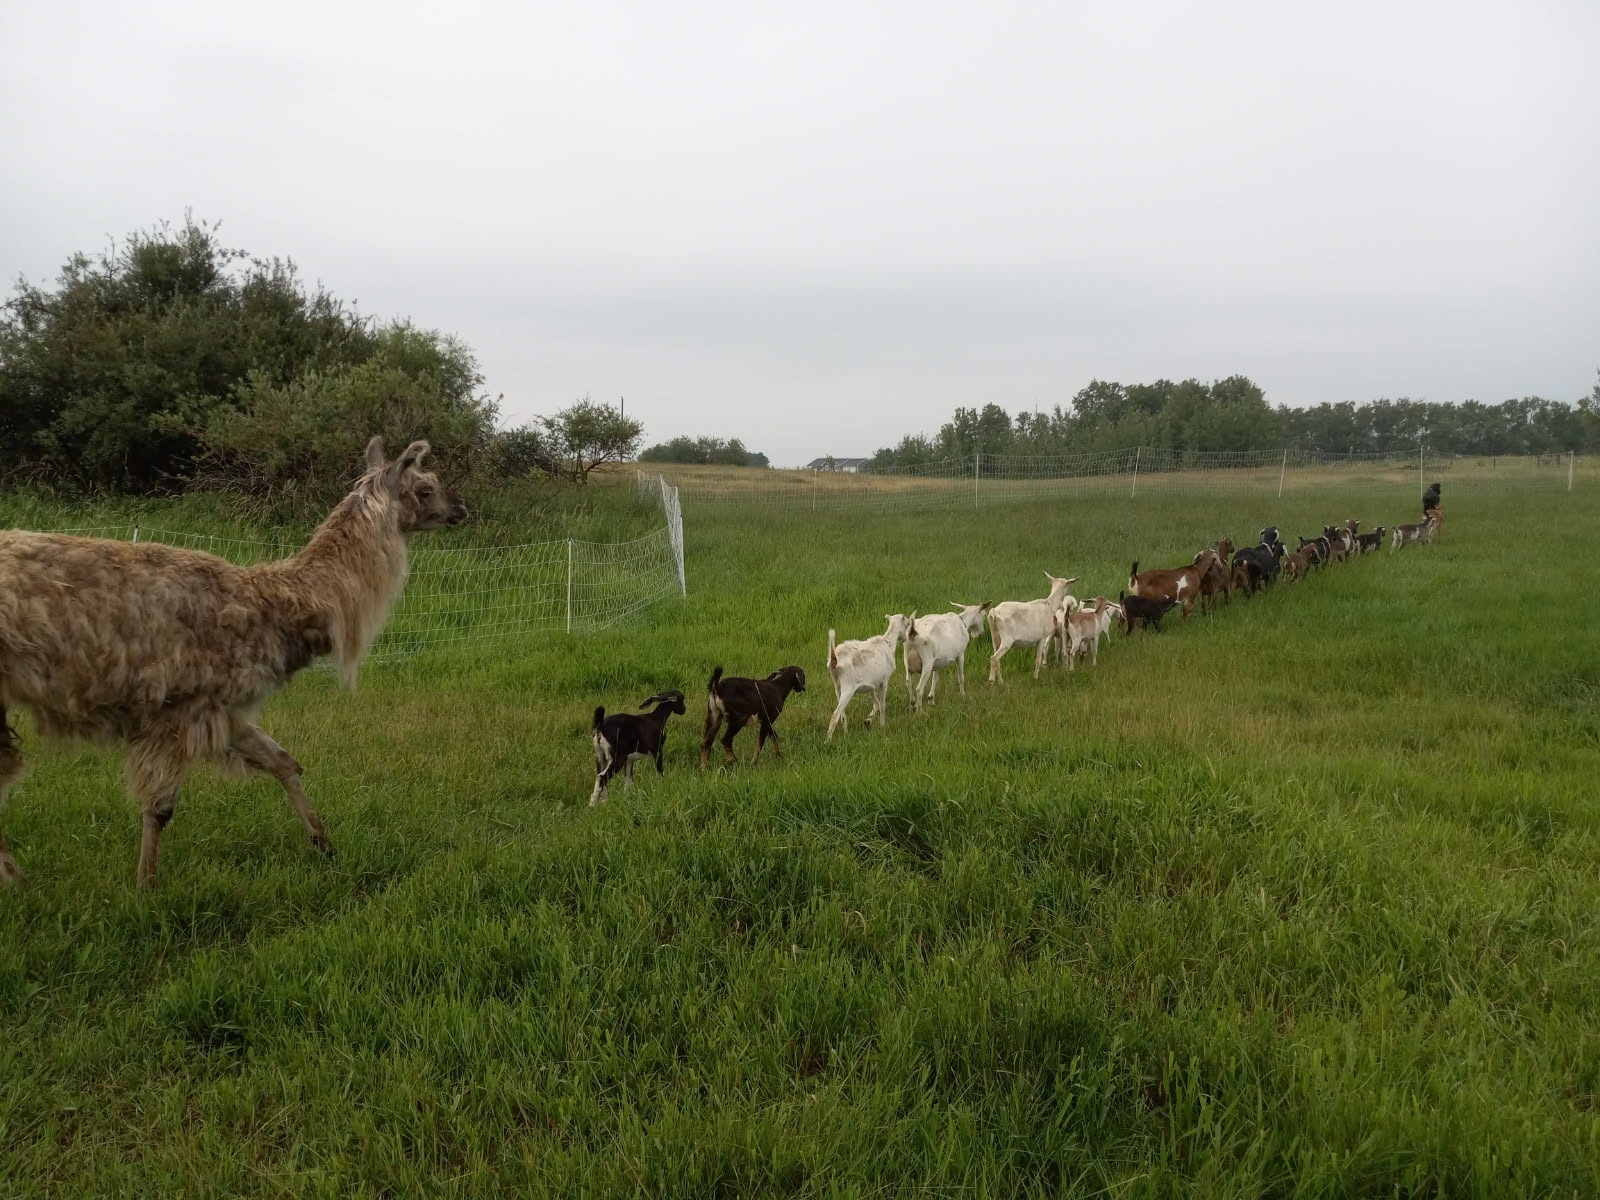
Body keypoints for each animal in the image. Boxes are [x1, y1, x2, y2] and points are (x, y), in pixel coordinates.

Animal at [0, 437, 465, 889]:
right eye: (426, 488)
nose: (461, 508)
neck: (273, 604)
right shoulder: (184, 708)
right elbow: (159, 807)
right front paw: (145, 887)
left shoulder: (224, 709)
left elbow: (285, 762)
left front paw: (324, 844)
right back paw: (20, 882)